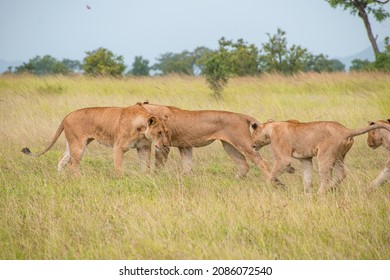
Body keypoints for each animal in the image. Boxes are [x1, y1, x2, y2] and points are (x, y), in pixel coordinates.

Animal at [21, 104, 168, 176]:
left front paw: (146, 179)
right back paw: (80, 180)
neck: (142, 130)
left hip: (72, 144)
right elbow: (119, 168)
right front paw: (121, 181)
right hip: (78, 145)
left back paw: (60, 179)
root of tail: (67, 116)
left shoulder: (143, 148)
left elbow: (146, 166)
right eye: (159, 132)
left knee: (62, 161)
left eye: (166, 132)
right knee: (73, 165)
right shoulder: (118, 147)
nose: (166, 145)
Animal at [139, 101, 272, 178]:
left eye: (163, 132)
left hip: (243, 143)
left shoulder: (163, 145)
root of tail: (242, 116)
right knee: (243, 165)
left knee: (263, 162)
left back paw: (270, 183)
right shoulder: (185, 145)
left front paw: (155, 178)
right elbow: (187, 165)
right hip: (228, 145)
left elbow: (158, 165)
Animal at [250, 119, 390, 194]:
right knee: (341, 174)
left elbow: (270, 176)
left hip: (325, 156)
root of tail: (346, 130)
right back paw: (330, 189)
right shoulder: (305, 159)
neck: (270, 128)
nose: (251, 145)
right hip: (339, 156)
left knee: (326, 178)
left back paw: (321, 193)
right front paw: (307, 194)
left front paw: (279, 185)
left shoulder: (284, 158)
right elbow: (307, 179)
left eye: (253, 134)